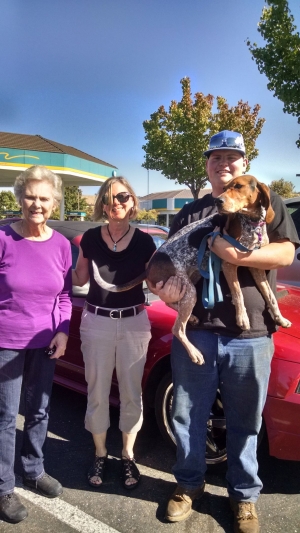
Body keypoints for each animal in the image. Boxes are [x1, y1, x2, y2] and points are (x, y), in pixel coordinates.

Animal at [93, 177, 290, 364]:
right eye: (225, 188)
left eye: (238, 186)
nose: (218, 201)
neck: (251, 222)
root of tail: (149, 267)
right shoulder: (229, 264)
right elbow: (238, 294)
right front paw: (242, 318)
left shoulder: (256, 267)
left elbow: (271, 297)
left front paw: (280, 318)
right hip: (189, 290)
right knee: (177, 328)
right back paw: (194, 352)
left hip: (191, 281)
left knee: (171, 304)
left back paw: (193, 318)